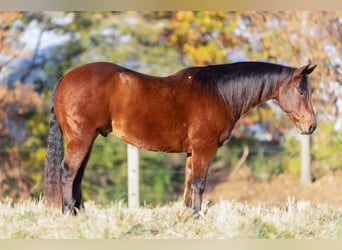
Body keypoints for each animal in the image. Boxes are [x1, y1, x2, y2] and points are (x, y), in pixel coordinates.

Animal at [44, 61, 316, 214]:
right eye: (301, 90)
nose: (311, 125)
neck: (218, 93)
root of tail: (66, 77)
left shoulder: (192, 151)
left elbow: (188, 183)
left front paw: (186, 215)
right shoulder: (205, 148)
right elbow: (200, 183)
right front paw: (197, 215)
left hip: (86, 141)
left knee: (78, 175)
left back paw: (80, 212)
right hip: (80, 139)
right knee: (68, 172)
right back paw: (68, 212)